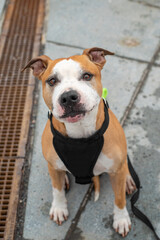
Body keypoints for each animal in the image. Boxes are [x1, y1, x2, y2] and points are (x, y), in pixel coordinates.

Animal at [23, 47, 136, 237]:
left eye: (86, 76)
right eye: (52, 81)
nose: (68, 97)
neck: (80, 133)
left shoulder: (116, 169)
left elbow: (119, 198)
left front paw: (121, 219)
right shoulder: (52, 165)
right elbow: (57, 190)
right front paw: (59, 208)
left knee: (125, 168)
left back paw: (127, 180)